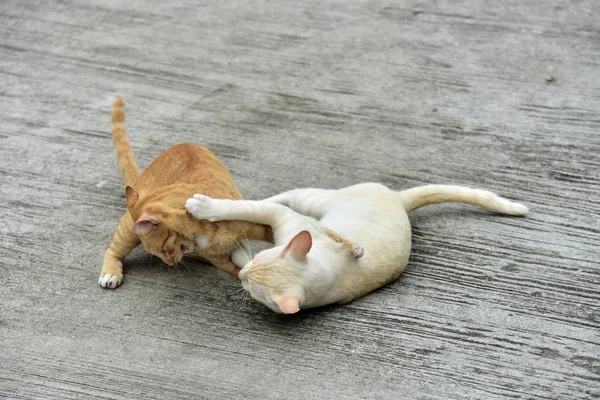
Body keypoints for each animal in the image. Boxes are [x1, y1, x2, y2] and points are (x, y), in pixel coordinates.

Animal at [99, 98, 274, 290]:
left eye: (162, 249)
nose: (170, 263)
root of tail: (141, 179)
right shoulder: (218, 258)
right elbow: (238, 271)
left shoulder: (256, 227)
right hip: (127, 230)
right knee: (113, 250)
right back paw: (110, 273)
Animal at [185, 183, 528, 314]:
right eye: (261, 257)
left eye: (251, 287)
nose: (244, 272)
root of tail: (399, 199)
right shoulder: (283, 220)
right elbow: (247, 208)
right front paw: (206, 208)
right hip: (313, 202)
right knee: (280, 196)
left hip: (314, 201)